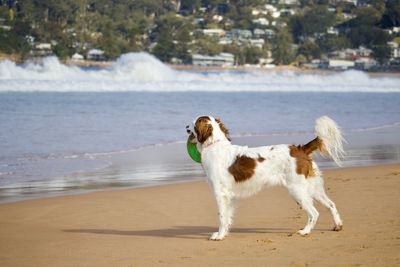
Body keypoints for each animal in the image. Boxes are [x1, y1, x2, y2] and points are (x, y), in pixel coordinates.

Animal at [186, 116, 346, 242]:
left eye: (194, 123)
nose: (186, 127)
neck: (215, 145)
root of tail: (300, 149)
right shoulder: (230, 196)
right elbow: (227, 217)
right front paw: (224, 233)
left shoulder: (221, 194)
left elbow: (221, 216)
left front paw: (219, 236)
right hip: (313, 188)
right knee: (331, 205)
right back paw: (337, 225)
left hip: (297, 190)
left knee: (314, 212)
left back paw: (305, 231)